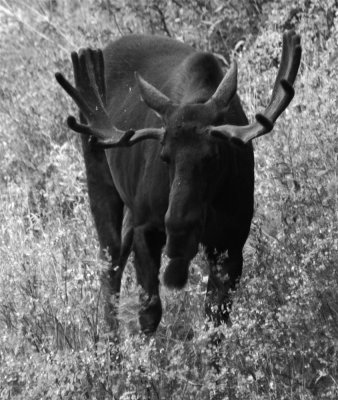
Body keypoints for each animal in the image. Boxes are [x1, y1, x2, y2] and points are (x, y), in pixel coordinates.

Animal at [55, 29, 302, 332]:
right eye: (165, 156)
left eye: (213, 155)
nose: (177, 229)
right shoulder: (147, 226)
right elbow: (149, 313)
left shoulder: (231, 243)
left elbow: (215, 320)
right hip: (100, 180)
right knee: (110, 267)